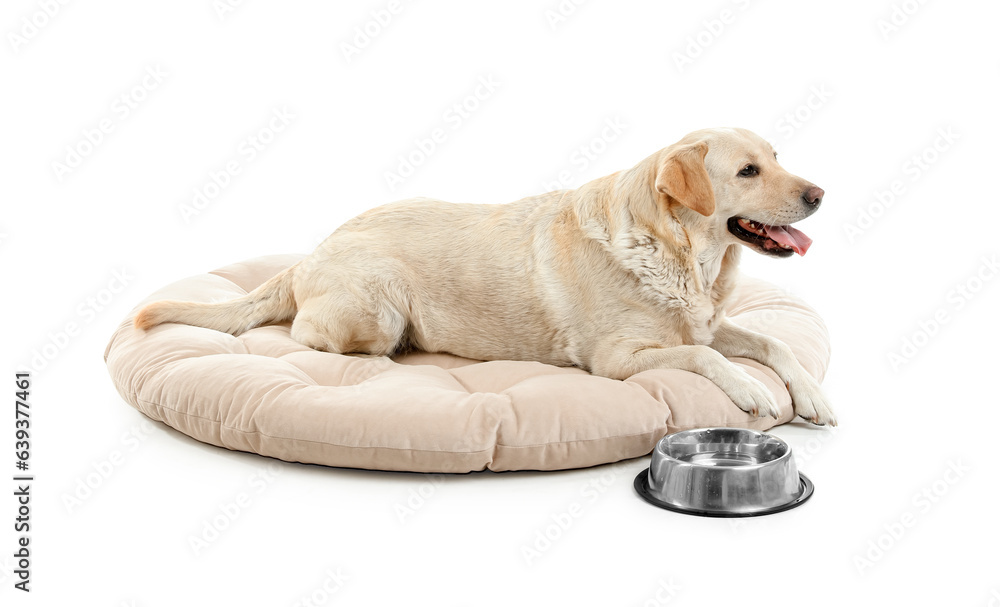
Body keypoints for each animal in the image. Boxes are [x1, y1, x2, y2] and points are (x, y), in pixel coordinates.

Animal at [133, 126, 836, 426]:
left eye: (777, 156)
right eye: (747, 171)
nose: (820, 194)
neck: (685, 254)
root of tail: (310, 253)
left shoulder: (712, 320)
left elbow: (772, 342)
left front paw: (812, 397)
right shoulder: (617, 360)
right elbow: (704, 356)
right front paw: (751, 390)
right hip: (377, 306)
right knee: (304, 335)